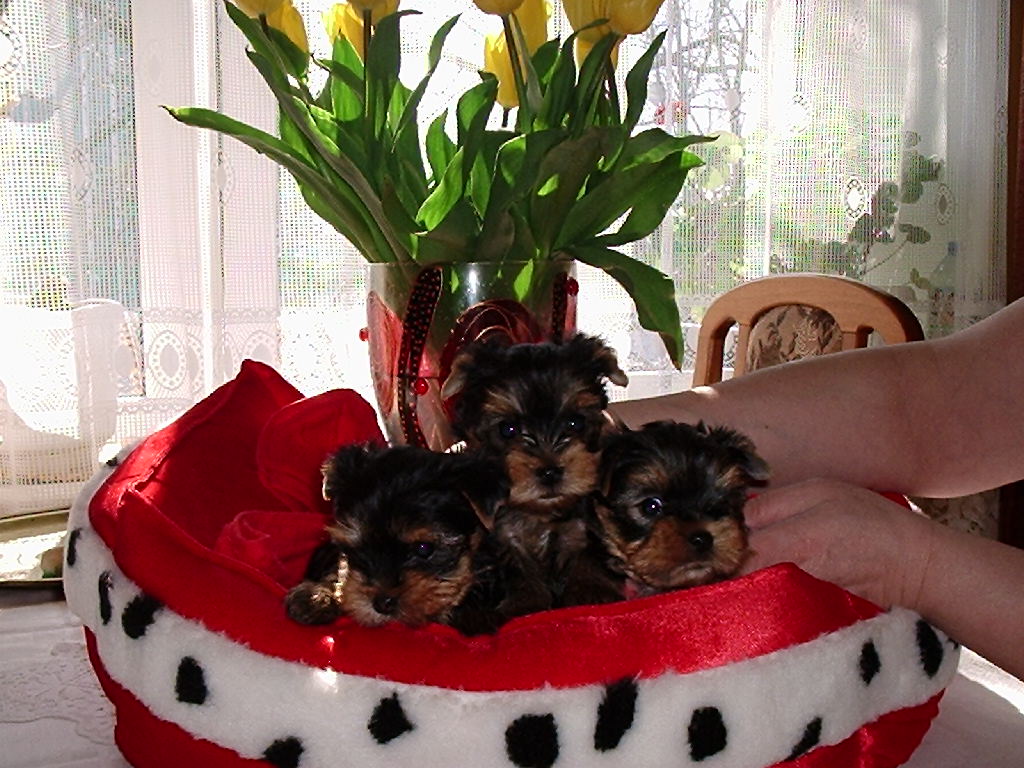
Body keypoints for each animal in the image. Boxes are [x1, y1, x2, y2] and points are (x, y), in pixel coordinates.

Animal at [442, 333, 629, 616]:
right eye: (508, 429)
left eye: (575, 423)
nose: (550, 471)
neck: (541, 513)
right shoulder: (504, 535)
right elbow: (519, 569)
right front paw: (525, 603)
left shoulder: (582, 527)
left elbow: (587, 557)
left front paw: (591, 593)